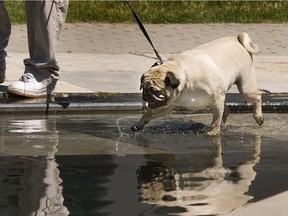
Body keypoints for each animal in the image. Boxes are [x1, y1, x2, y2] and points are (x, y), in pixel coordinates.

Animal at [132, 32, 264, 135]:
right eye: (143, 87)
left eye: (155, 91)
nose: (146, 95)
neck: (184, 78)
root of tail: (237, 38)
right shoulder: (168, 105)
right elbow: (149, 113)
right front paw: (139, 124)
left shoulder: (217, 99)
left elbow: (215, 120)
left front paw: (213, 132)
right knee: (226, 110)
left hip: (245, 88)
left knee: (257, 96)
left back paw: (258, 118)